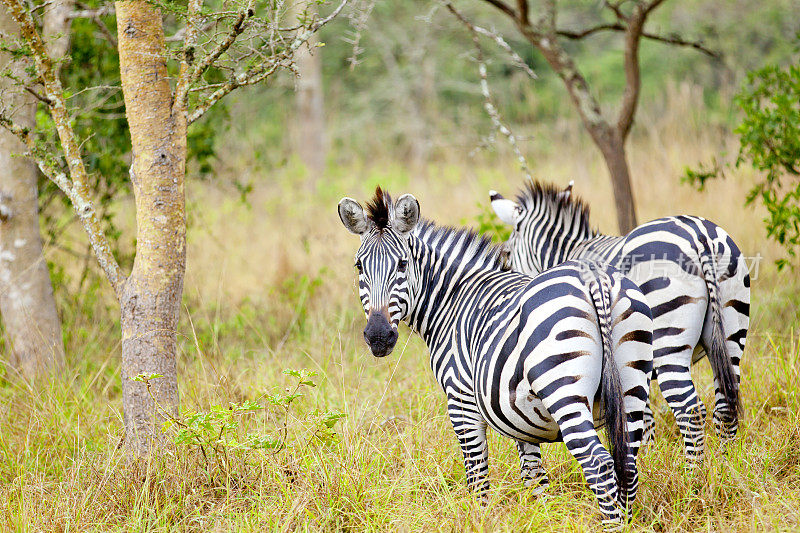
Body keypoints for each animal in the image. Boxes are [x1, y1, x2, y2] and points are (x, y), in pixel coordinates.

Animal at [334, 187, 652, 524]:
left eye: (402, 265)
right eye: (359, 267)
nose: (379, 336)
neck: (452, 301)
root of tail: (595, 279)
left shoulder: (461, 402)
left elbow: (477, 478)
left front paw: (479, 520)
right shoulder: (519, 414)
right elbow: (534, 477)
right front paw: (542, 518)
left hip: (563, 388)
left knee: (599, 464)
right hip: (632, 384)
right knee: (627, 463)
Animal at [488, 180, 752, 462]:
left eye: (507, 253)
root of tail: (699, 235)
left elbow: (640, 422)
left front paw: (645, 461)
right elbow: (639, 420)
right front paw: (648, 458)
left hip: (669, 342)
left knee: (690, 409)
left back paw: (695, 470)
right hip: (732, 334)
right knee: (726, 404)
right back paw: (726, 464)